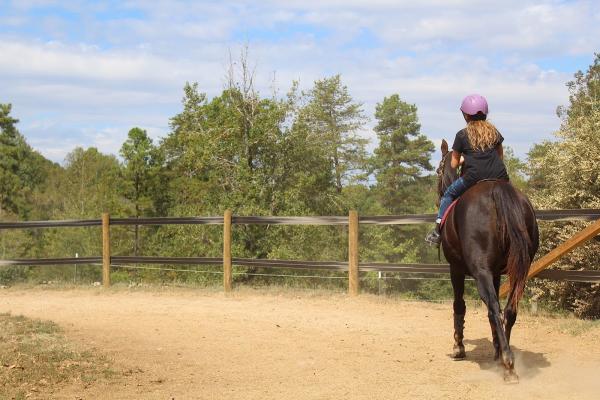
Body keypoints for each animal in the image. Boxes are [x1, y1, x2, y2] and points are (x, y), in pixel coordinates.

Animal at [436, 138, 540, 382]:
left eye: (437, 170)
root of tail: (497, 191)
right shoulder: (495, 274)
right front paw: (495, 349)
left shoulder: (456, 269)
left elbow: (459, 305)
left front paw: (458, 347)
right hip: (521, 270)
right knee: (509, 310)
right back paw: (504, 357)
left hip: (480, 271)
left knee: (493, 306)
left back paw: (508, 364)